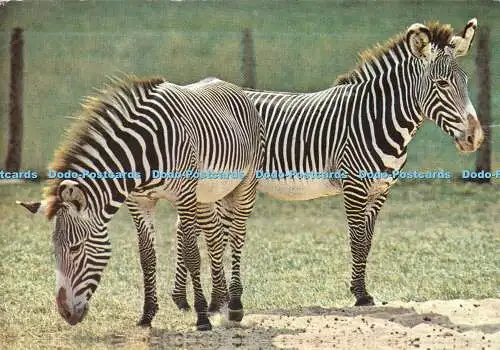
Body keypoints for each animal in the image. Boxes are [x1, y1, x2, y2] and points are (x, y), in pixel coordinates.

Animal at [17, 76, 264, 330]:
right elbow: (146, 258)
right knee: (214, 235)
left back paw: (234, 305)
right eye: (53, 248)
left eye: (75, 248)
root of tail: (233, 86)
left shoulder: (184, 197)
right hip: (206, 193)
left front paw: (202, 318)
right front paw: (147, 315)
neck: (142, 154)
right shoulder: (139, 202)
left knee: (237, 235)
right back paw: (218, 301)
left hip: (245, 184)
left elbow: (191, 255)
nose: (65, 313)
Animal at [173, 19, 484, 314]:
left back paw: (183, 299)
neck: (376, 118)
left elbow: (367, 241)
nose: (476, 138)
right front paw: (360, 295)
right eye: (442, 84)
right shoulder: (354, 185)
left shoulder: (380, 190)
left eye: (466, 80)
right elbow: (356, 239)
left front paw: (361, 290)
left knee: (187, 227)